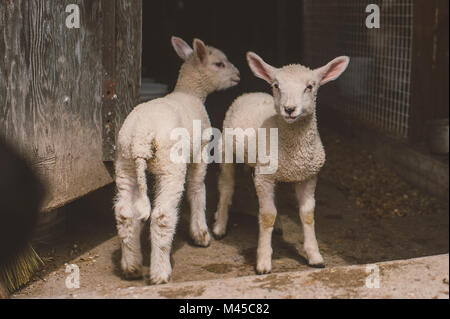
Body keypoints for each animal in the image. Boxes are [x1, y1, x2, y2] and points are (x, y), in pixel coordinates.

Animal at [113, 36, 239, 284]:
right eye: (219, 64)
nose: (238, 75)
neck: (191, 93)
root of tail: (141, 134)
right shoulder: (200, 150)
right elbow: (197, 187)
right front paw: (200, 234)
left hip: (125, 163)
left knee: (124, 213)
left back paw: (131, 267)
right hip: (169, 166)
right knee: (162, 216)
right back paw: (160, 272)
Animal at [213, 52, 350, 276]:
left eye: (310, 86)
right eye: (276, 85)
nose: (289, 109)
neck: (293, 147)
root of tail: (250, 93)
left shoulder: (308, 176)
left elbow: (307, 215)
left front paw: (315, 256)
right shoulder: (265, 176)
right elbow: (267, 215)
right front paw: (263, 261)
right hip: (227, 150)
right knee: (226, 187)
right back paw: (219, 226)